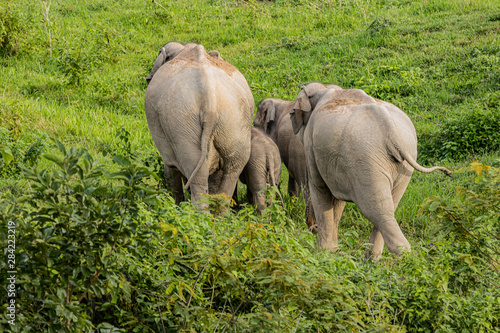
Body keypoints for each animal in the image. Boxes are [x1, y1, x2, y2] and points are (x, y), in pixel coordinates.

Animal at [145, 42, 254, 205]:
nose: (148, 78)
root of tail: (210, 99)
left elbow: (170, 167)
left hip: (182, 125)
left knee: (196, 176)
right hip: (234, 120)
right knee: (232, 170)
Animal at [290, 82, 454, 260]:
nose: (312, 228)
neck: (326, 88)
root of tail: (390, 131)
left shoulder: (312, 147)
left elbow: (320, 189)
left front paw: (325, 251)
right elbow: (337, 200)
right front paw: (333, 250)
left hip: (365, 160)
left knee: (375, 210)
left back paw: (400, 257)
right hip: (403, 163)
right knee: (389, 208)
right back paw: (373, 259)